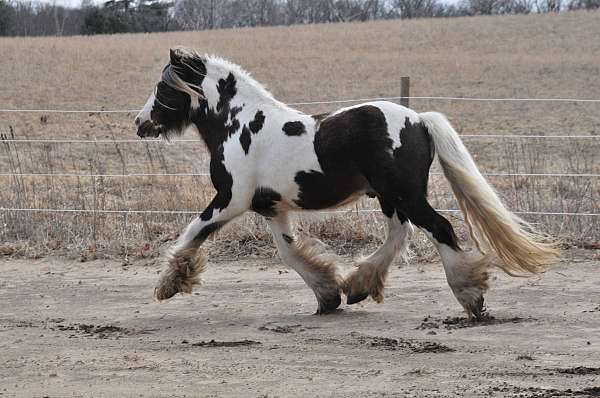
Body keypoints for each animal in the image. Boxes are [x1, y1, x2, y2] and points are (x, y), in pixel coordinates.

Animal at [135, 47, 556, 320]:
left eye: (163, 87)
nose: (140, 123)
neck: (239, 124)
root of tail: (418, 120)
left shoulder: (230, 199)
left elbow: (192, 233)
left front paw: (168, 285)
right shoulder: (270, 207)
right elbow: (289, 252)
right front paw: (327, 296)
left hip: (404, 193)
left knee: (438, 227)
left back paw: (471, 299)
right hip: (389, 196)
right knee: (399, 233)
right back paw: (358, 286)